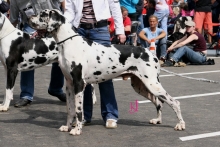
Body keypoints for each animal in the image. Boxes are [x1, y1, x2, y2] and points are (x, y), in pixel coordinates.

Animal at [28, 9, 185, 136]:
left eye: (43, 14)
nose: (28, 17)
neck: (68, 43)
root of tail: (150, 53)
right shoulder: (69, 85)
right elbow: (70, 109)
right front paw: (67, 127)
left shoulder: (79, 84)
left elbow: (78, 111)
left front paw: (77, 130)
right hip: (140, 85)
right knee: (159, 102)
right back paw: (157, 120)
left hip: (152, 84)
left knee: (175, 102)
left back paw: (180, 125)